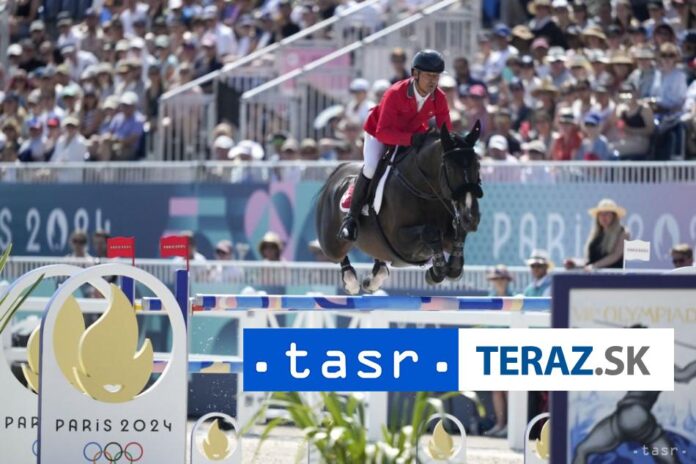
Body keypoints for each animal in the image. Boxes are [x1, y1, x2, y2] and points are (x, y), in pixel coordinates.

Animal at [315, 121, 483, 294]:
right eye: (450, 168)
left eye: (477, 165)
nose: (471, 218)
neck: (426, 191)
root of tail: (338, 173)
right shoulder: (399, 241)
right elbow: (430, 232)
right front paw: (436, 272)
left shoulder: (448, 237)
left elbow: (458, 234)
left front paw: (453, 268)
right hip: (332, 245)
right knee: (339, 256)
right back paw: (351, 281)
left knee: (379, 259)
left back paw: (374, 279)